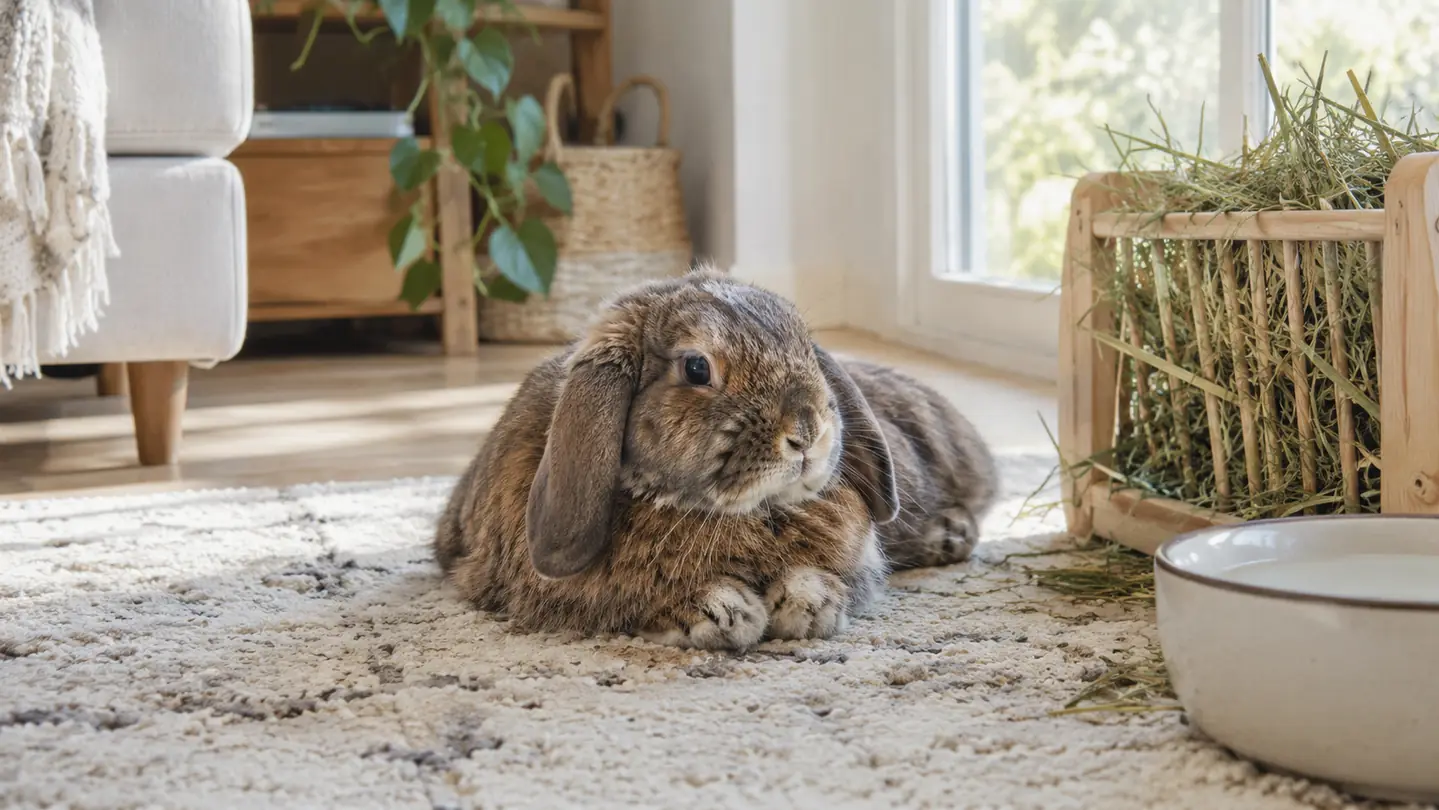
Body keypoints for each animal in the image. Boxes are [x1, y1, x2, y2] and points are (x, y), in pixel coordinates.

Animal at [434, 268, 998, 651]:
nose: (808, 431)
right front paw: (723, 611)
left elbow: (830, 580)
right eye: (697, 368)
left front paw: (807, 604)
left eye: (806, 347)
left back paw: (948, 535)